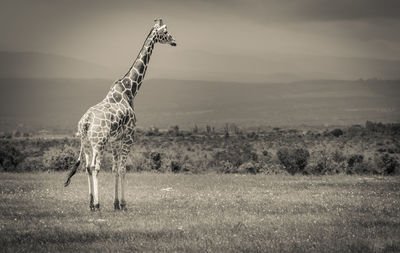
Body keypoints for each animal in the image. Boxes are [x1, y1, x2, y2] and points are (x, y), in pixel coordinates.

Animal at [63, 18, 177, 211]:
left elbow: (115, 169)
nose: (174, 41)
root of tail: (85, 122)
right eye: (165, 32)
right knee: (94, 167)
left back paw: (90, 203)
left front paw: (116, 203)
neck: (129, 91)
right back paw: (97, 204)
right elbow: (123, 168)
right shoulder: (129, 135)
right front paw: (123, 204)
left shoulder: (116, 139)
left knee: (87, 167)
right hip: (99, 142)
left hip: (86, 143)